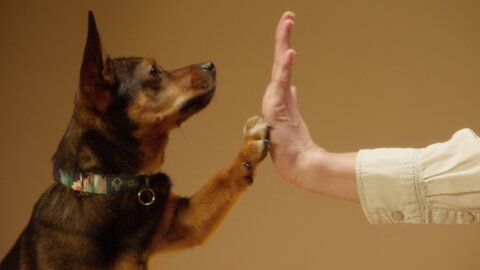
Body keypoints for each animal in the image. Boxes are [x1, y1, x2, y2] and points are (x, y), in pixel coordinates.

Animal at [0, 11, 270, 268]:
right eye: (154, 72)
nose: (210, 64)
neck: (109, 185)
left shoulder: (184, 221)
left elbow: (221, 180)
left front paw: (247, 151)